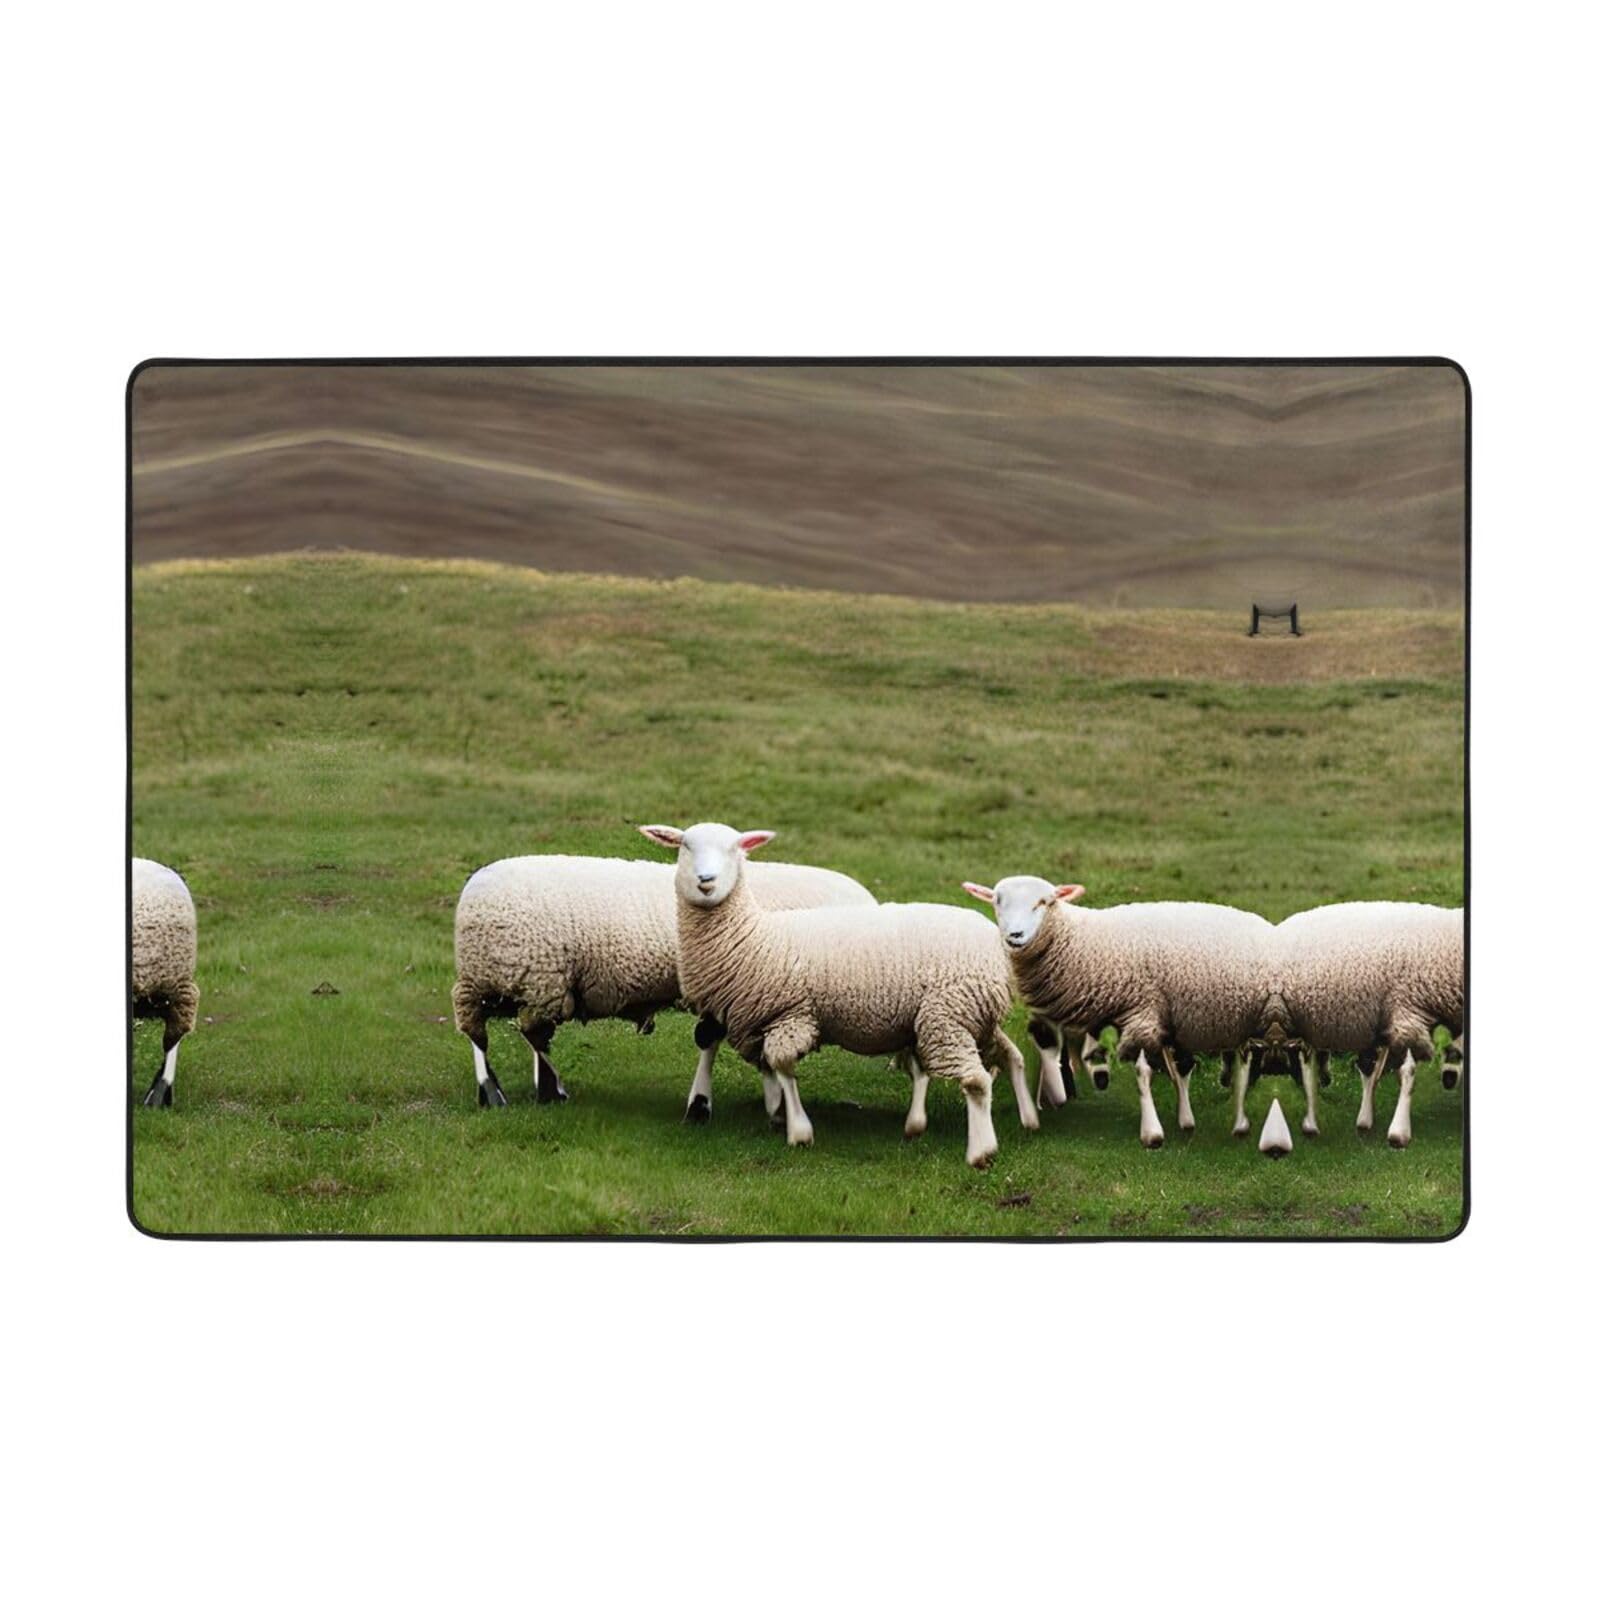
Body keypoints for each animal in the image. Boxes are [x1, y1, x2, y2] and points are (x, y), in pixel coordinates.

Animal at [451, 852, 875, 1112]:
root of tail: (475, 883)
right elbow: (712, 1039)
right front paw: (703, 1104)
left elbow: (716, 1039)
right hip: (524, 976)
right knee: (492, 1031)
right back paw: (502, 1092)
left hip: (509, 980)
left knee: (506, 1030)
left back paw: (533, 1089)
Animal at [639, 823, 1030, 1169]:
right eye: (685, 846)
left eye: (735, 849)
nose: (706, 881)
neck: (754, 936)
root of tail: (995, 945)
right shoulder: (763, 1021)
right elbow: (770, 1067)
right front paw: (777, 1113)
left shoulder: (792, 1015)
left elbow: (781, 1064)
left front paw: (799, 1130)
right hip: (970, 1018)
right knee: (1008, 1056)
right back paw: (1025, 1119)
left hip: (947, 1016)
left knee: (976, 1081)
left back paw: (981, 1151)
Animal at [962, 876, 1274, 1148]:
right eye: (997, 901)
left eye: (1043, 902)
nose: (1015, 935)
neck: (1079, 942)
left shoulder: (1143, 1012)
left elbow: (1142, 1071)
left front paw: (1151, 1133)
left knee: (1242, 1061)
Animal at [1268, 901, 1463, 1148]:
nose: (1448, 1079)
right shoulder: (1388, 1019)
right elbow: (1377, 1069)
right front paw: (1373, 1122)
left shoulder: (1399, 1016)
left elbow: (1394, 1070)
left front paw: (1392, 1129)